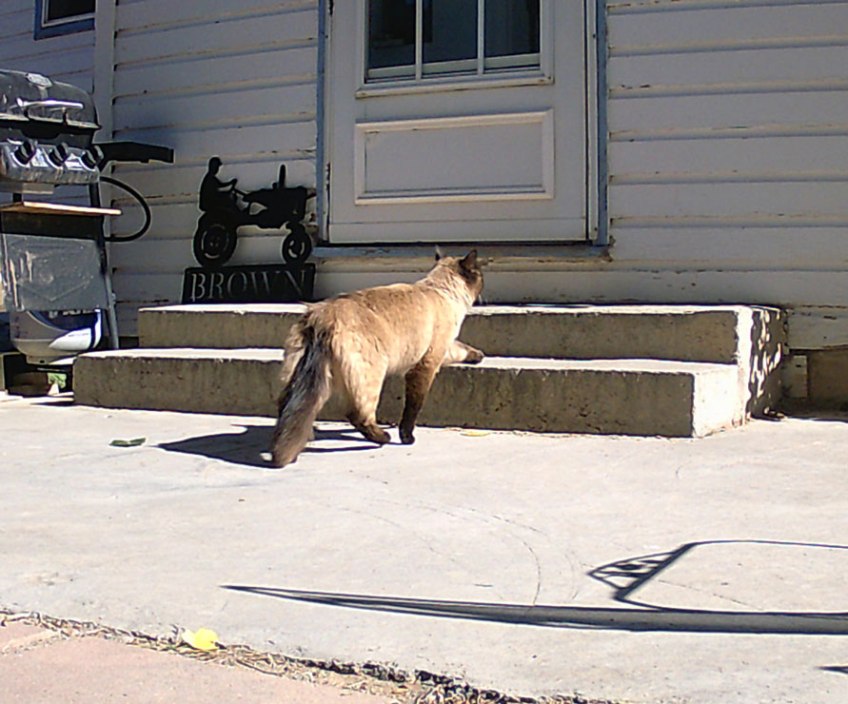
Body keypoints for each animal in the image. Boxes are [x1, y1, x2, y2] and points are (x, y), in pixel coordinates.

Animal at [270, 250, 484, 468]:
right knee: (357, 415)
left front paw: (479, 356)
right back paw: (383, 439)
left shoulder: (444, 349)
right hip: (372, 375)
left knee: (288, 409)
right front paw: (406, 437)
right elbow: (413, 406)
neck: (440, 290)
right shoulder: (426, 364)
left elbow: (462, 349)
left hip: (296, 377)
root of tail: (320, 317)